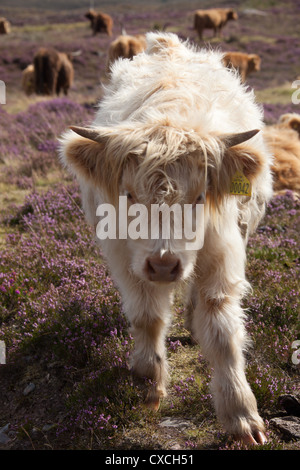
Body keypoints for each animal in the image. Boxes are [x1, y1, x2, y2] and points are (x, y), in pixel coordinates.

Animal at [59, 32, 274, 444]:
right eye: (128, 195)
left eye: (200, 197)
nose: (163, 264)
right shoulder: (126, 258)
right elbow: (147, 317)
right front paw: (148, 384)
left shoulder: (222, 254)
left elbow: (222, 331)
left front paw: (241, 416)